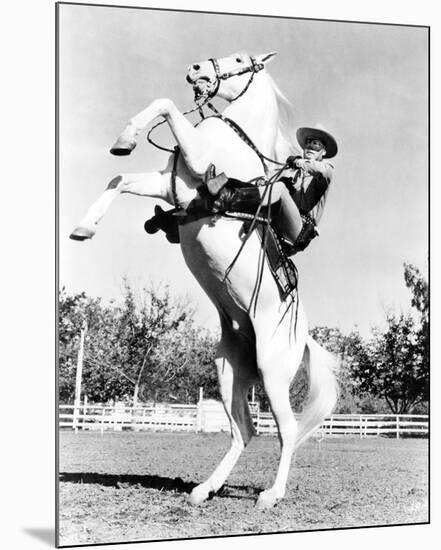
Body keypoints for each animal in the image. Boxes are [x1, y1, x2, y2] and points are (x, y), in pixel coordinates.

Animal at [70, 50, 336, 508]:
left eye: (241, 58)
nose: (195, 70)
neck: (236, 139)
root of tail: (302, 337)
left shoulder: (193, 167)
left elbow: (164, 106)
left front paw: (126, 138)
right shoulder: (168, 185)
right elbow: (119, 179)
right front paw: (85, 226)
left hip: (273, 372)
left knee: (285, 430)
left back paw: (271, 495)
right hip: (230, 369)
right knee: (244, 430)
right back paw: (204, 489)